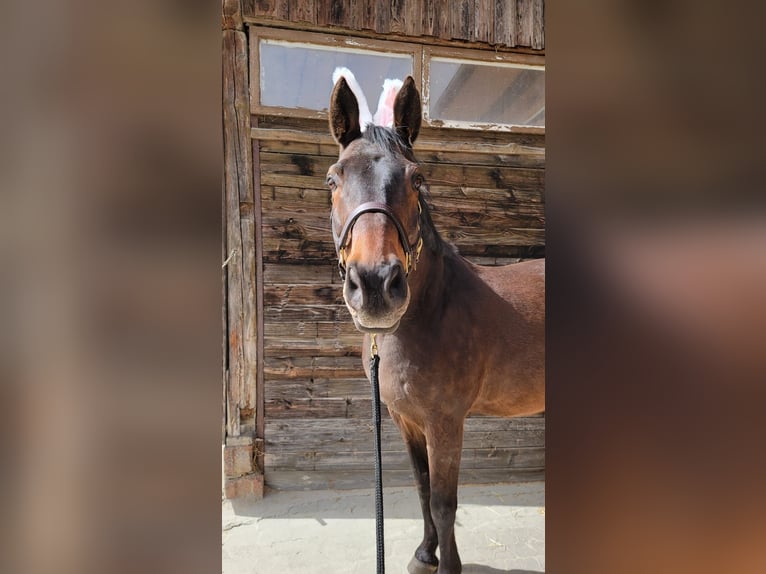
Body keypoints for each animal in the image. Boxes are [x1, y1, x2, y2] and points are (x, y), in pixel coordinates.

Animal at [324, 75, 544, 574]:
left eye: (416, 179)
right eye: (333, 179)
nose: (375, 283)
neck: (431, 314)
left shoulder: (446, 422)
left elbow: (445, 502)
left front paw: (448, 565)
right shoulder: (407, 420)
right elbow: (423, 489)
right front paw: (426, 553)